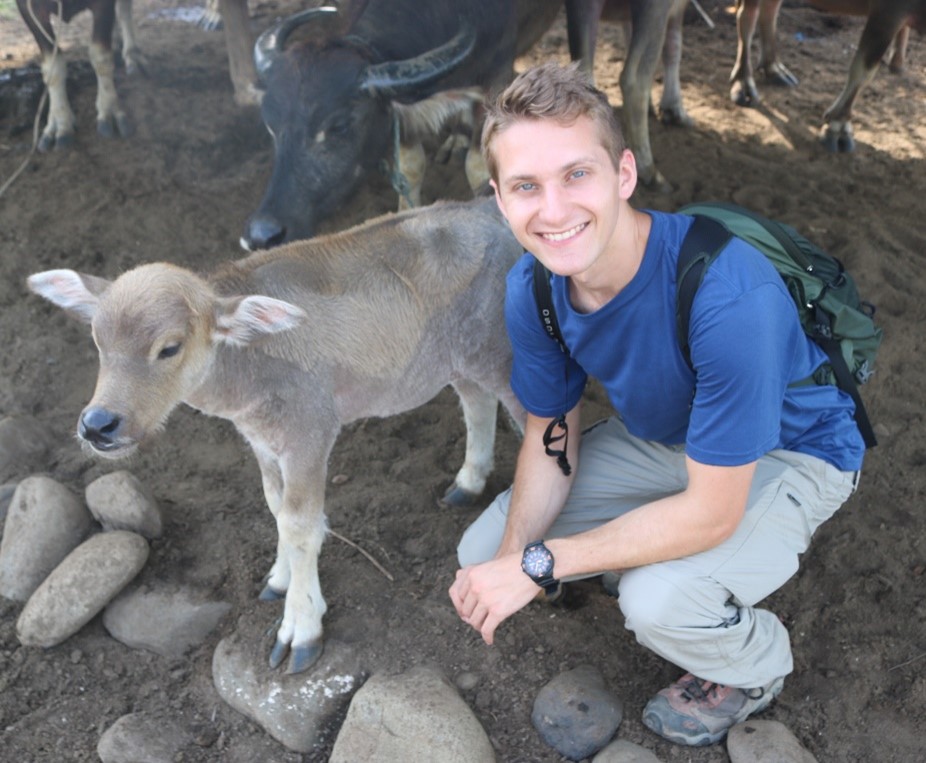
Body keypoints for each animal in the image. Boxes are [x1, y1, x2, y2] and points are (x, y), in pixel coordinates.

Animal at [16, 0, 141, 151]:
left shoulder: (104, 5)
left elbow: (101, 56)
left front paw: (109, 109)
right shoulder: (27, 7)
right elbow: (52, 66)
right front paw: (60, 122)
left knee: (124, 11)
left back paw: (131, 54)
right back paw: (116, 41)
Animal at [25, 197, 524, 676]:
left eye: (169, 348)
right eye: (97, 339)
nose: (98, 424)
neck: (245, 370)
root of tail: (486, 207)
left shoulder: (310, 432)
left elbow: (301, 525)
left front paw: (300, 630)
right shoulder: (263, 438)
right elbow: (276, 508)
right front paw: (278, 581)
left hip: (503, 355)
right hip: (458, 361)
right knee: (477, 402)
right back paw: (468, 483)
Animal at [728, 0, 924, 152]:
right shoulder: (889, 10)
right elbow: (863, 71)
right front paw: (837, 128)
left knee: (770, 9)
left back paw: (774, 69)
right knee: (746, 16)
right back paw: (744, 83)